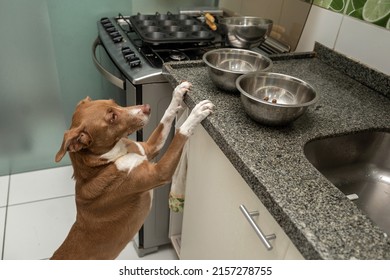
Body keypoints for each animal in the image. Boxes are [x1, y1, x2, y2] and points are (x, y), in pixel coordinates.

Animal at [51, 81, 213, 260]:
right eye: (113, 117)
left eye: (114, 102)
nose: (147, 107)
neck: (107, 162)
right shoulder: (159, 173)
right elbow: (179, 135)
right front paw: (196, 114)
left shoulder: (150, 148)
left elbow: (166, 117)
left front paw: (178, 92)